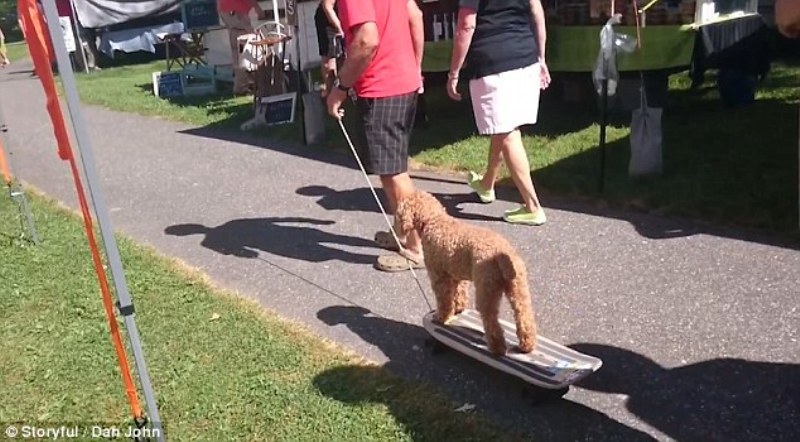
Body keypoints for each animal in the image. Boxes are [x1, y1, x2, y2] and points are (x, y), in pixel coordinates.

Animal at [396, 190, 536, 356]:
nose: (396, 228)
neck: (433, 220)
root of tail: (502, 255)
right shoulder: (457, 275)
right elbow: (459, 294)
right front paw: (458, 309)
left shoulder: (439, 276)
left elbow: (444, 301)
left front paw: (441, 317)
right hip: (518, 288)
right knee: (524, 316)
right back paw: (526, 346)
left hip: (486, 289)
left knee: (492, 322)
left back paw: (497, 348)